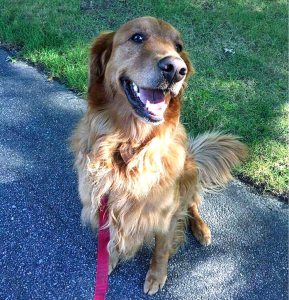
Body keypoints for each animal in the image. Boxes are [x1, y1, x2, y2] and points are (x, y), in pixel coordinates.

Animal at [71, 17, 246, 296]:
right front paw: (108, 260)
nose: (175, 69)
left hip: (189, 175)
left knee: (192, 204)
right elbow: (111, 239)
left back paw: (202, 229)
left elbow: (161, 249)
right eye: (137, 37)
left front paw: (156, 276)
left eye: (179, 46)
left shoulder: (167, 216)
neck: (129, 147)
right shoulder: (105, 200)